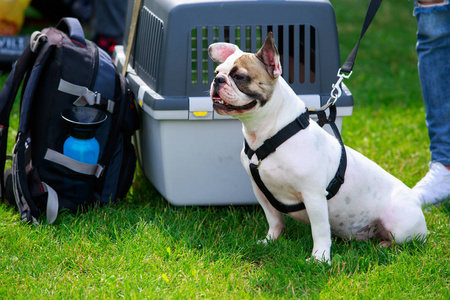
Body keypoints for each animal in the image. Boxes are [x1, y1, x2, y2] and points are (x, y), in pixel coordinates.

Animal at [209, 32, 428, 262]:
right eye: (216, 72)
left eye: (240, 77)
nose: (217, 80)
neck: (272, 134)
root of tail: (416, 201)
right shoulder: (262, 193)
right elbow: (274, 220)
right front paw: (270, 240)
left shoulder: (313, 196)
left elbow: (320, 230)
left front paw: (319, 259)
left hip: (400, 224)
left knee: (401, 241)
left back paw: (384, 246)